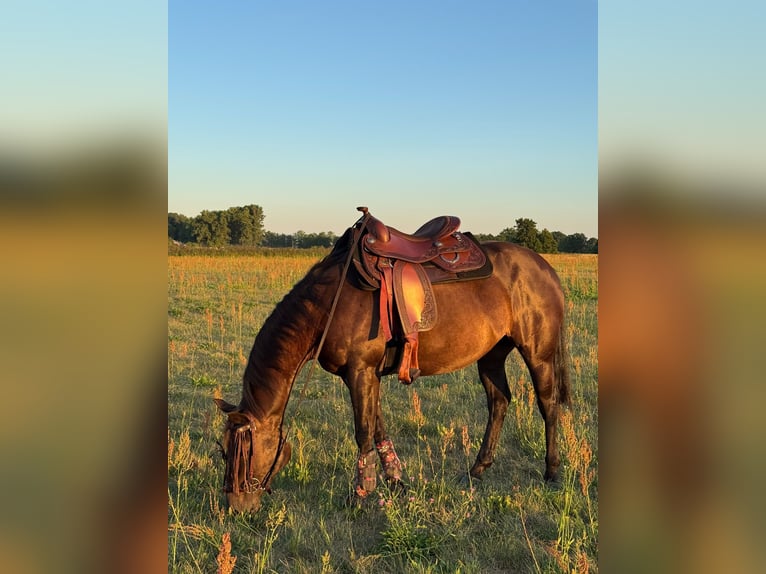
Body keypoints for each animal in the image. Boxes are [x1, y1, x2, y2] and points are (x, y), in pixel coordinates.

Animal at [214, 212, 571, 513]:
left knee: (547, 403)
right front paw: (396, 482)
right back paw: (476, 470)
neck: (328, 305)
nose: (236, 508)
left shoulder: (360, 372)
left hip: (538, 353)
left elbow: (363, 432)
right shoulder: (367, 375)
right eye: (223, 450)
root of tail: (545, 267)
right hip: (492, 355)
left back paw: (552, 472)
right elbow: (378, 428)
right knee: (499, 401)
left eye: (242, 452)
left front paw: (360, 495)